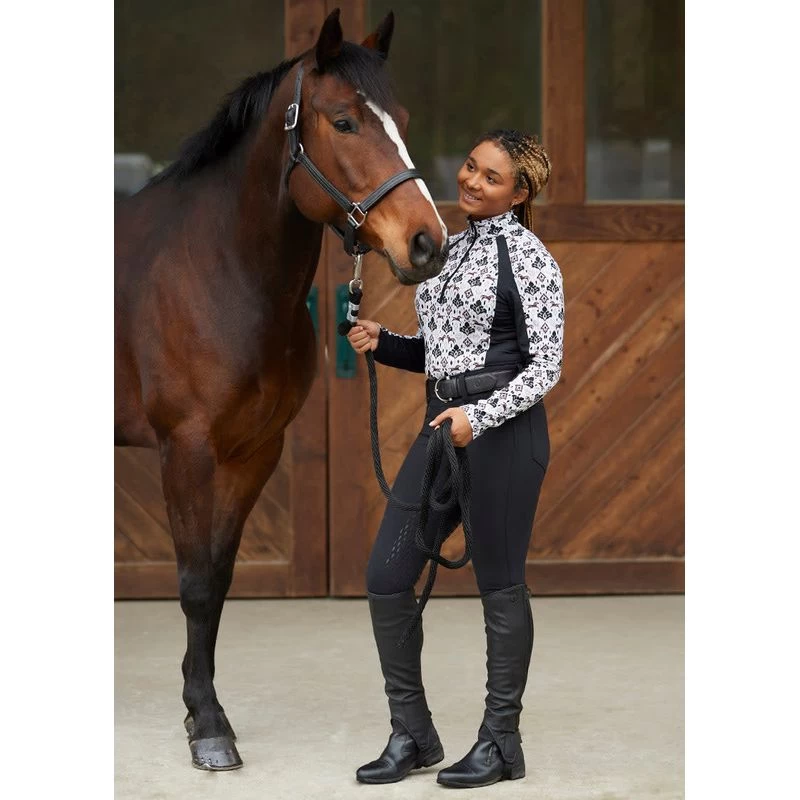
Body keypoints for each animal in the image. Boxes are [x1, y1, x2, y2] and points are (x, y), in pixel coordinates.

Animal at [114, 8, 448, 771]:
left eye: (402, 118)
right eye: (345, 121)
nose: (428, 242)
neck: (217, 269)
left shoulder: (253, 453)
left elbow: (219, 579)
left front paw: (198, 707)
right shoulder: (186, 451)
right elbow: (194, 584)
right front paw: (209, 728)